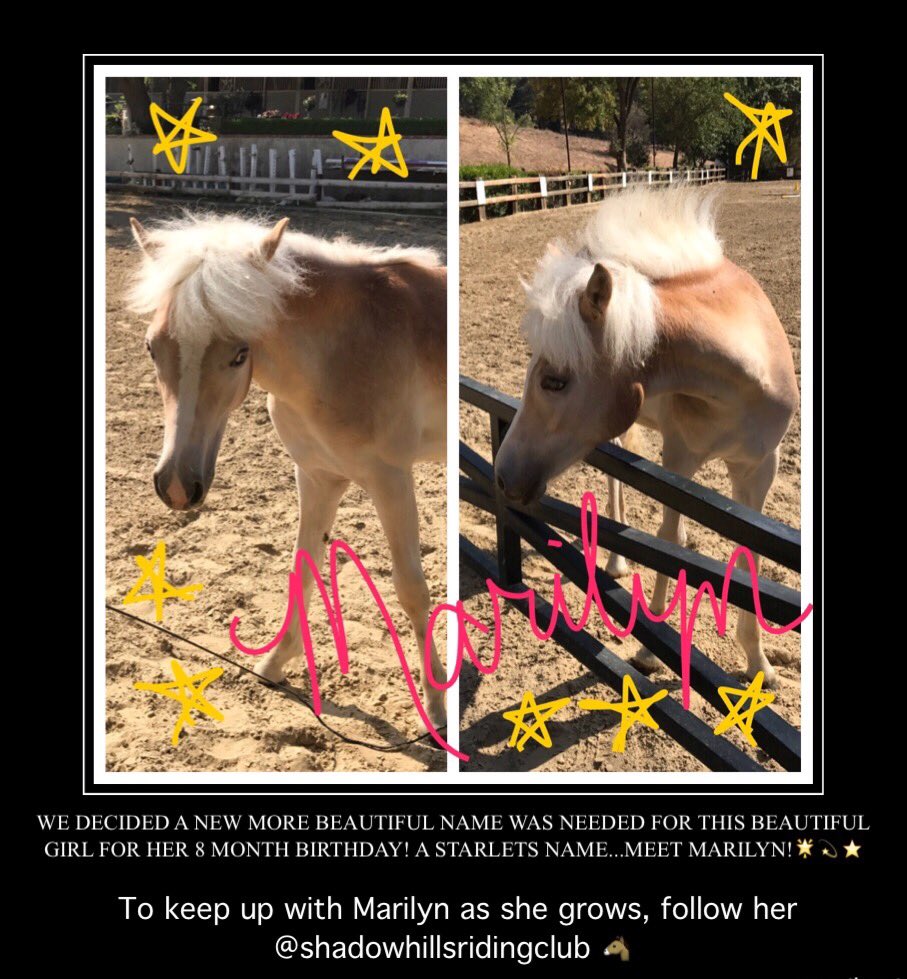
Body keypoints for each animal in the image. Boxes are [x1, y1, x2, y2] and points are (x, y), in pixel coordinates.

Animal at [128, 213, 447, 726]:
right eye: (151, 348)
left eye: (240, 353)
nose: (176, 486)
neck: (345, 349)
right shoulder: (317, 477)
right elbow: (303, 567)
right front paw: (275, 664)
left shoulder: (392, 481)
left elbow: (411, 590)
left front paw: (436, 706)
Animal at [494, 187, 798, 686]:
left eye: (555, 380)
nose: (502, 475)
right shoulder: (678, 462)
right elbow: (666, 542)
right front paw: (650, 651)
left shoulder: (760, 468)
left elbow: (747, 558)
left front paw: (760, 665)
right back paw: (617, 563)